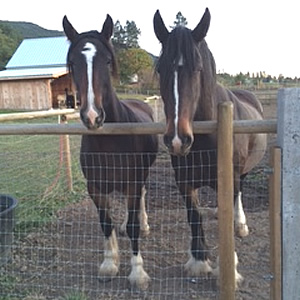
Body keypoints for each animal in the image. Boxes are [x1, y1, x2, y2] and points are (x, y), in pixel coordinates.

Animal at [62, 14, 158, 290]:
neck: (110, 141)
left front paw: (137, 273)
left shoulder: (134, 182)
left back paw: (144, 225)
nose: (93, 117)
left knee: (142, 200)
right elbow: (106, 223)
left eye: (106, 60)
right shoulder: (95, 186)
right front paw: (109, 263)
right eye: (73, 63)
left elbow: (134, 225)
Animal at [154, 7, 266, 286]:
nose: (177, 140)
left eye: (198, 68)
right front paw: (198, 261)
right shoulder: (184, 182)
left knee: (238, 195)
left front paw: (230, 269)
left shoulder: (229, 177)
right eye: (160, 69)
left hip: (242, 172)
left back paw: (240, 224)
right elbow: (195, 216)